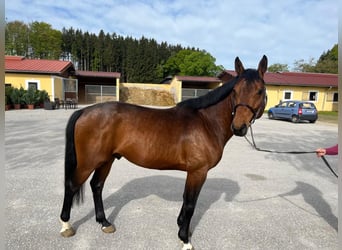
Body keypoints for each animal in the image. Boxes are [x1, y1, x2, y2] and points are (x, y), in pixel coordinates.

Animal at [59, 55, 268, 249]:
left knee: (97, 186)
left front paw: (182, 227)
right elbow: (190, 204)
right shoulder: (198, 171)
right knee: (72, 185)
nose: (239, 127)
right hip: (88, 162)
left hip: (106, 160)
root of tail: (84, 111)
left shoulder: (193, 172)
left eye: (260, 90)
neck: (207, 122)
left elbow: (186, 200)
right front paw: (185, 240)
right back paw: (66, 226)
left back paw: (104, 223)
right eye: (235, 91)